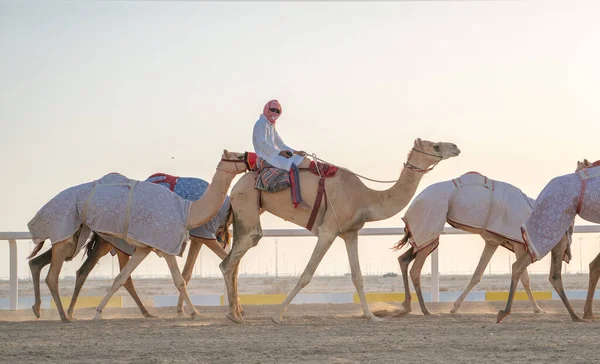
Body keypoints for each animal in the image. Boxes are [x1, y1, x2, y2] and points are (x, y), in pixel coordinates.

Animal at [27, 150, 247, 322]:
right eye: (238, 155)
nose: (250, 159)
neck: (188, 210)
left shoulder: (144, 247)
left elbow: (120, 278)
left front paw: (98, 312)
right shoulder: (172, 243)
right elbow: (180, 280)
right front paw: (195, 312)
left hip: (80, 234)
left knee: (47, 264)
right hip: (69, 231)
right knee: (56, 275)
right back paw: (64, 315)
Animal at [219, 139, 460, 324]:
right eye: (435, 146)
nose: (456, 147)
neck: (365, 198)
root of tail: (237, 184)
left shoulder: (350, 233)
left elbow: (358, 276)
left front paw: (372, 316)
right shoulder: (328, 230)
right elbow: (307, 274)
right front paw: (277, 315)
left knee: (230, 262)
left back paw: (237, 313)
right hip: (247, 205)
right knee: (234, 257)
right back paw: (233, 315)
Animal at [392, 171, 548, 316]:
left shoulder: (493, 241)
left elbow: (477, 274)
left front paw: (455, 307)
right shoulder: (518, 242)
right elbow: (524, 277)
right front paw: (538, 309)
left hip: (423, 236)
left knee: (403, 259)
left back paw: (407, 305)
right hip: (429, 227)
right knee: (415, 270)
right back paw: (425, 310)